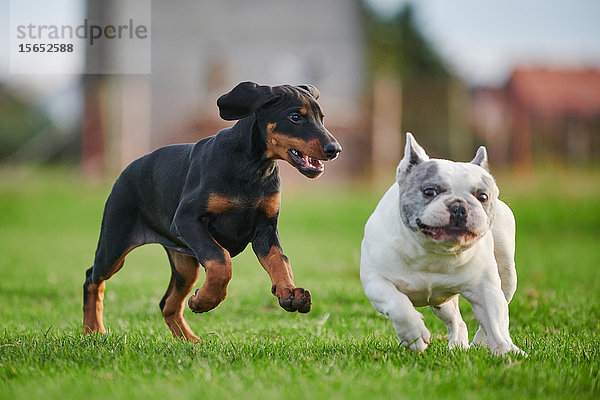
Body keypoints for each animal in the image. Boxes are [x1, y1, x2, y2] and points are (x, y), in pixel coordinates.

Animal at [82, 82, 340, 340]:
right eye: (295, 117)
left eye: (322, 118)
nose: (335, 149)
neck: (252, 168)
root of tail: (125, 171)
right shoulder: (187, 220)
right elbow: (220, 260)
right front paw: (206, 301)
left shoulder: (266, 229)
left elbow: (280, 260)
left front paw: (289, 292)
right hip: (115, 245)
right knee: (92, 279)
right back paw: (92, 330)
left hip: (185, 264)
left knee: (168, 304)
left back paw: (191, 341)